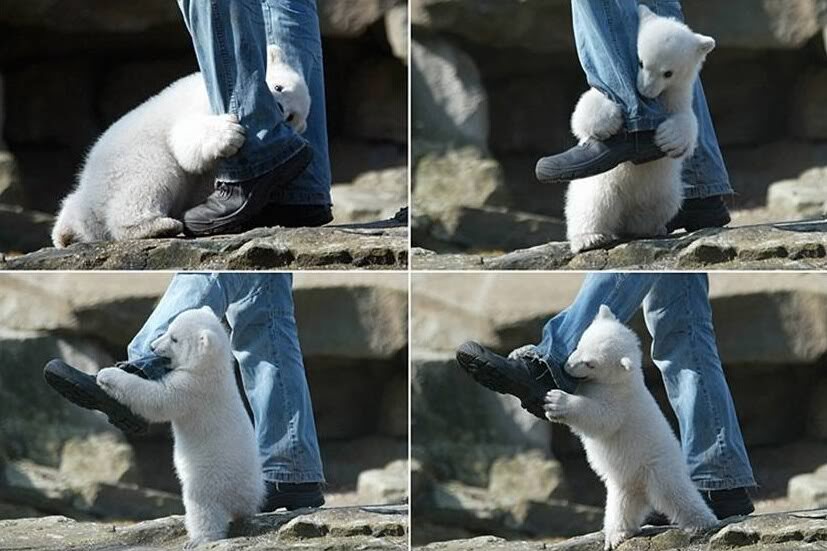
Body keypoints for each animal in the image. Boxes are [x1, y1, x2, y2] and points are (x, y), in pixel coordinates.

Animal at [51, 45, 310, 248]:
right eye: (279, 87)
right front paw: (230, 133)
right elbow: (184, 138)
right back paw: (157, 226)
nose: (280, 108)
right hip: (132, 160)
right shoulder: (201, 102)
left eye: (291, 117)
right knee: (153, 177)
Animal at [96, 307, 264, 548]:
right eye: (168, 329)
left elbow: (156, 399)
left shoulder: (192, 389)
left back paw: (198, 539)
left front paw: (107, 374)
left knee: (202, 506)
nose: (153, 347)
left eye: (174, 339)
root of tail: (244, 496)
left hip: (210, 476)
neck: (211, 369)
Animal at [543, 305, 717, 550]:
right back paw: (617, 535)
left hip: (659, 467)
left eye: (590, 363)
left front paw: (555, 401)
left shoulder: (620, 402)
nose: (566, 366)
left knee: (676, 494)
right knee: (622, 505)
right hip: (626, 480)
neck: (622, 380)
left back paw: (704, 522)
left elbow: (602, 418)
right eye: (579, 343)